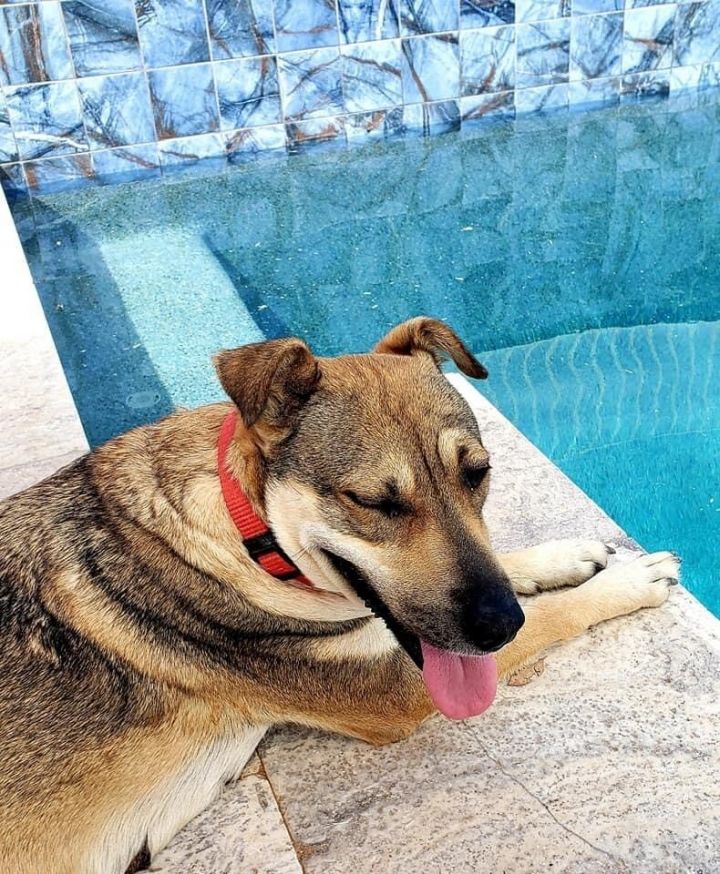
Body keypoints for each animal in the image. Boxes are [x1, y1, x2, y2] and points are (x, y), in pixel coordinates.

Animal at [0, 317, 679, 874]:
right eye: (373, 502)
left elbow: (510, 567)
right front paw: (628, 582)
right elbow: (552, 615)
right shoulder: (397, 690)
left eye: (478, 474)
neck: (248, 531)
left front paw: (562, 557)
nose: (499, 625)